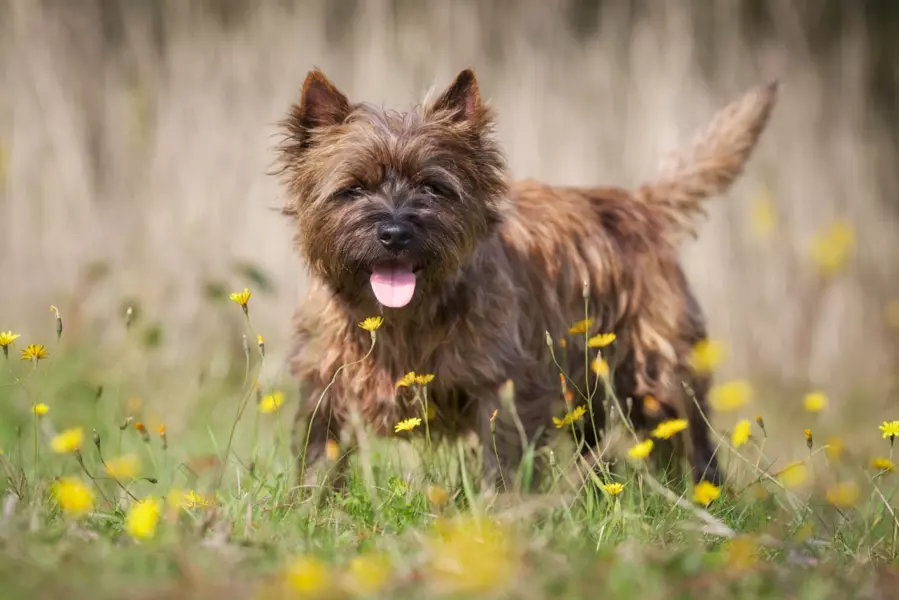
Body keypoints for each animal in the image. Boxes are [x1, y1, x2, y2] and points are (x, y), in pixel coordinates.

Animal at [276, 68, 780, 490]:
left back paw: (703, 497)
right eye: (353, 189)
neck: (401, 318)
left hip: (658, 374)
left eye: (432, 187)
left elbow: (502, 458)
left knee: (689, 438)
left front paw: (495, 516)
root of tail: (640, 204)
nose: (395, 232)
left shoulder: (504, 386)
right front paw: (311, 508)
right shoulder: (325, 382)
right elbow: (319, 454)